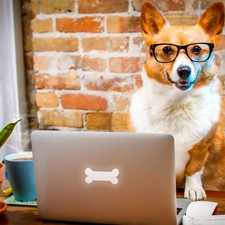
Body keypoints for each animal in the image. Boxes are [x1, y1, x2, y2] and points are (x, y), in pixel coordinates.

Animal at [129, 0, 225, 200]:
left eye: (196, 49)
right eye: (167, 49)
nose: (184, 71)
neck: (175, 103)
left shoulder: (201, 149)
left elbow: (193, 170)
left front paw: (194, 190)